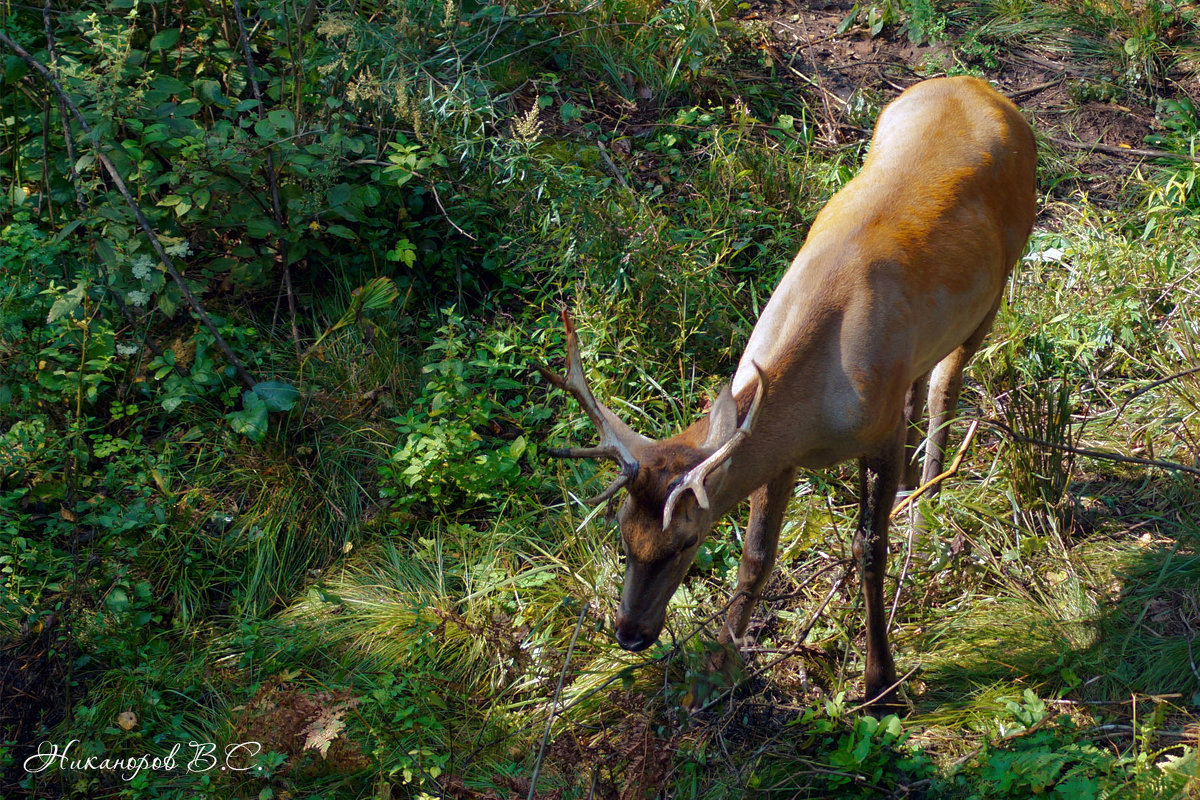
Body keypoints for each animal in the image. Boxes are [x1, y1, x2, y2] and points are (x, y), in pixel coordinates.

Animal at [540, 76, 1036, 705]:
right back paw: (911, 495)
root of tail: (981, 86)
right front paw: (720, 667)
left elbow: (869, 549)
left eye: (684, 543)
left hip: (1000, 279)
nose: (629, 634)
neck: (816, 412)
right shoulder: (782, 457)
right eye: (623, 538)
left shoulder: (877, 431)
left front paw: (880, 680)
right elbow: (756, 556)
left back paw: (926, 514)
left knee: (946, 386)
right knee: (922, 383)